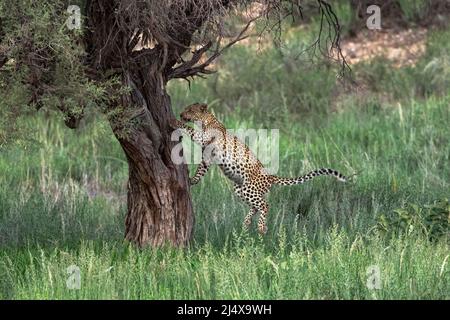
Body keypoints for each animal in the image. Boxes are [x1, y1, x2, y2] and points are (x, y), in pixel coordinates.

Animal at [170, 102, 348, 235]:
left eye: (189, 110)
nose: (180, 114)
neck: (206, 120)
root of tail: (270, 176)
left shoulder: (203, 138)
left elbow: (190, 130)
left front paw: (174, 122)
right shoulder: (207, 157)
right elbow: (201, 170)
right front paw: (192, 180)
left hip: (250, 189)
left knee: (264, 205)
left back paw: (261, 228)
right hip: (240, 189)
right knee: (255, 206)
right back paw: (246, 223)